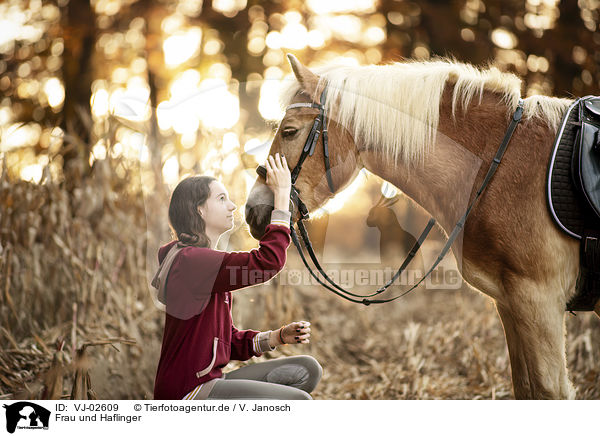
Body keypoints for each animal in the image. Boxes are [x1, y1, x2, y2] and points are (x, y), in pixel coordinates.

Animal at [246, 53, 592, 398]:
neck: (499, 166)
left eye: (290, 131)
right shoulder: (510, 304)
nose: (252, 210)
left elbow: (549, 390)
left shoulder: (539, 300)